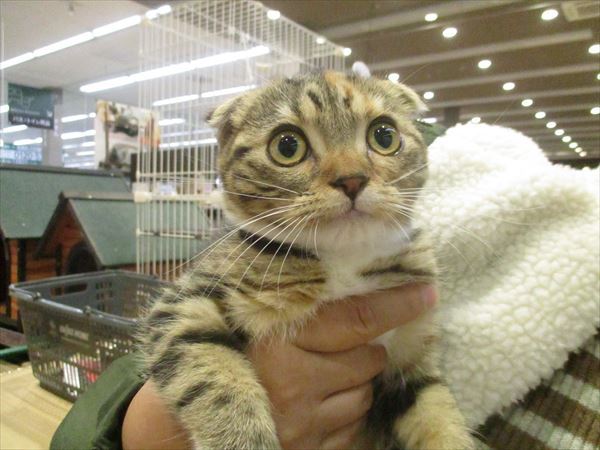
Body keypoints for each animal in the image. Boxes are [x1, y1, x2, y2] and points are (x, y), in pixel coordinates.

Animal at [141, 71, 474, 450]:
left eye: (384, 135)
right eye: (288, 146)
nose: (351, 179)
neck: (344, 260)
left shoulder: (412, 356)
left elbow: (436, 410)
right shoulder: (186, 302)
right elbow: (207, 368)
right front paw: (243, 438)